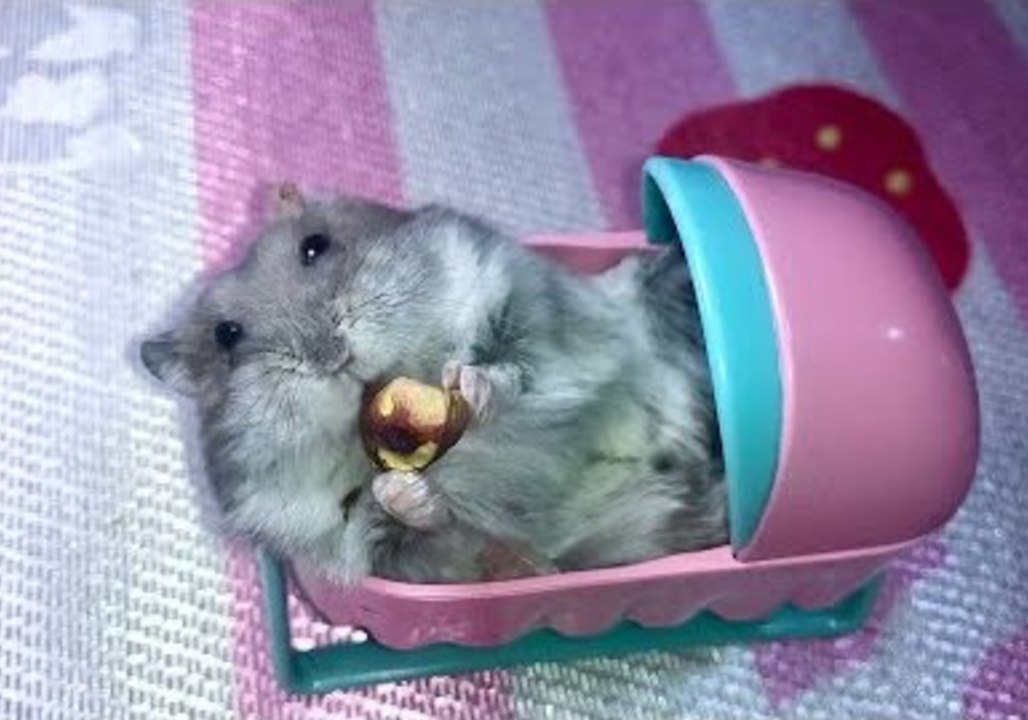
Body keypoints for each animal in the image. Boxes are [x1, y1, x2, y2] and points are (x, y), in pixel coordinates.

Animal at [140, 185, 726, 584]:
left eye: (314, 246)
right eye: (227, 335)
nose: (332, 356)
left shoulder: (521, 301)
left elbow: (513, 368)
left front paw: (467, 382)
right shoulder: (390, 555)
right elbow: (433, 527)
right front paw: (400, 491)